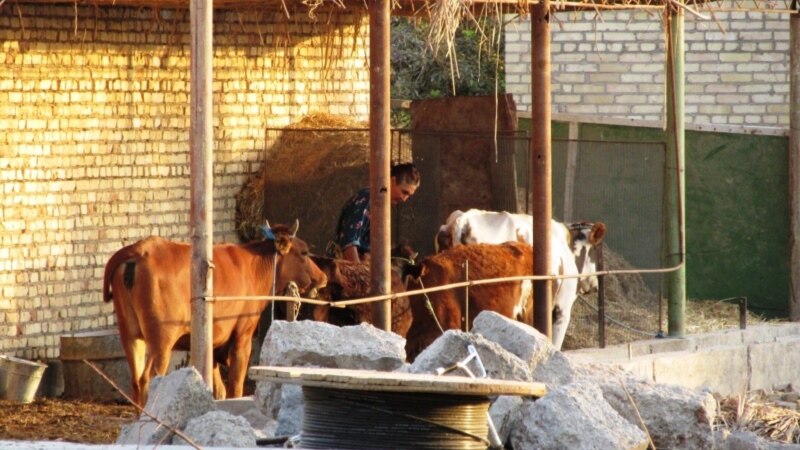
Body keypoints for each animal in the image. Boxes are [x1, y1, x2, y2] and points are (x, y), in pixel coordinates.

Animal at [104, 220, 328, 406]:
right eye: (304, 252)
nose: (323, 278)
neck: (254, 266)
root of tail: (138, 250)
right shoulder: (243, 336)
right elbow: (235, 385)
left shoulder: (211, 342)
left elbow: (217, 389)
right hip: (162, 339)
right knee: (148, 379)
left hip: (130, 335)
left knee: (135, 380)